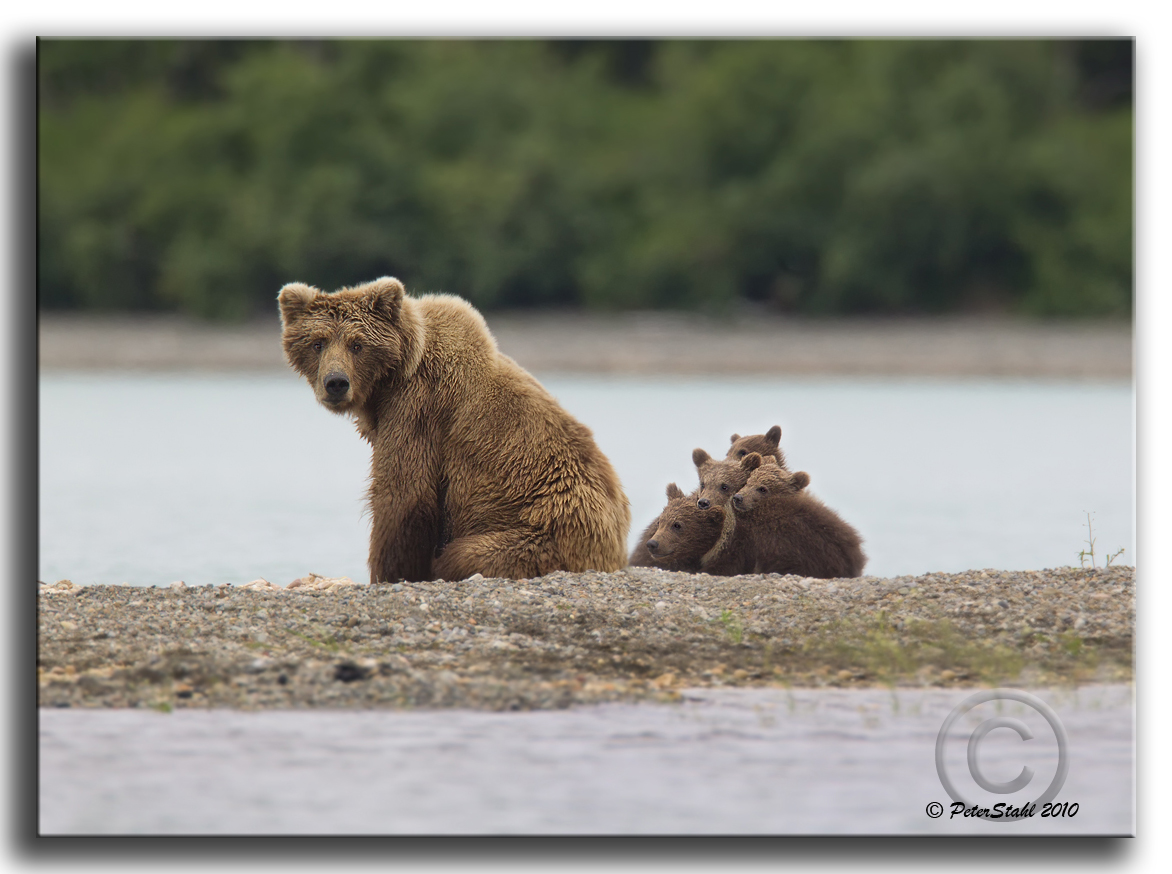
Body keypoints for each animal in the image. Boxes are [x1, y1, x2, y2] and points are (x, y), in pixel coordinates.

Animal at [277, 275, 632, 581]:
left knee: (466, 555)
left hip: (544, 532)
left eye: (357, 344)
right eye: (318, 343)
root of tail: (616, 549)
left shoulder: (417, 407)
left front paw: (388, 573)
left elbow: (405, 495)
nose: (336, 383)